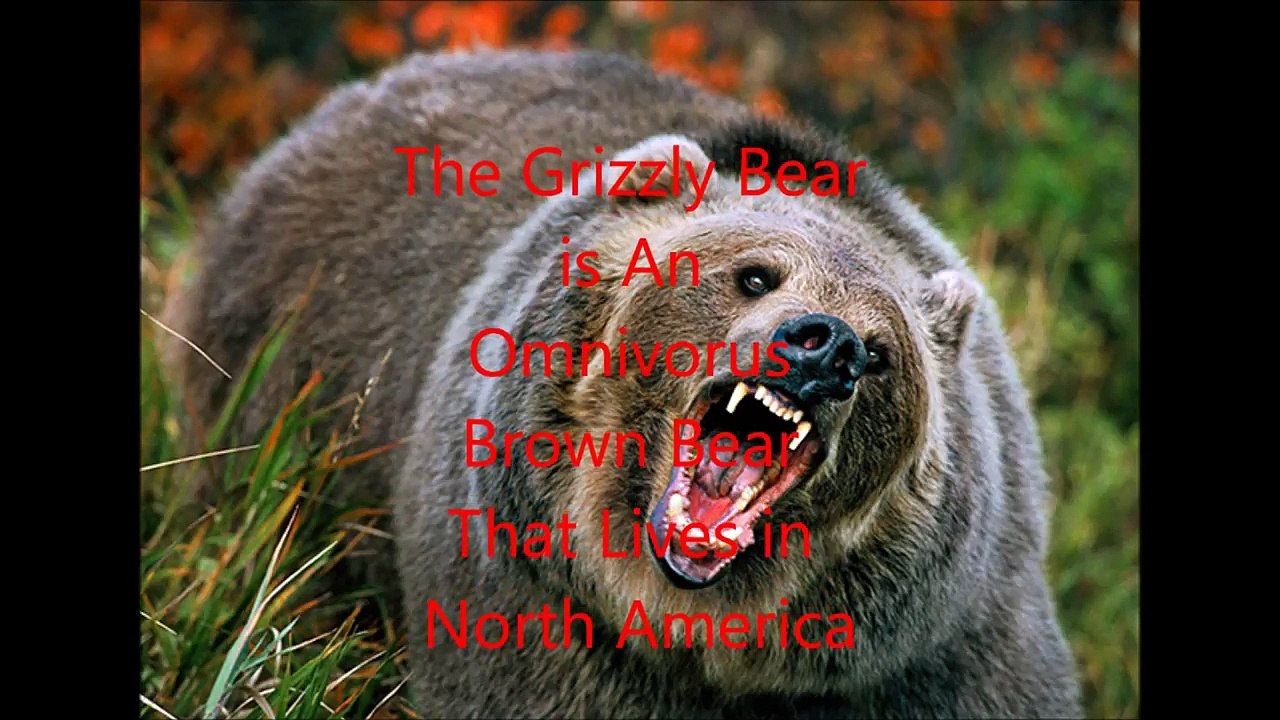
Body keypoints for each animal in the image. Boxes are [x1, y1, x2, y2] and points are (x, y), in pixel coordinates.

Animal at [166, 49, 1083, 718]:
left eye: (885, 352)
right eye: (755, 275)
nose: (828, 348)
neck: (702, 633)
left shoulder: (936, 651)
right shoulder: (535, 610)